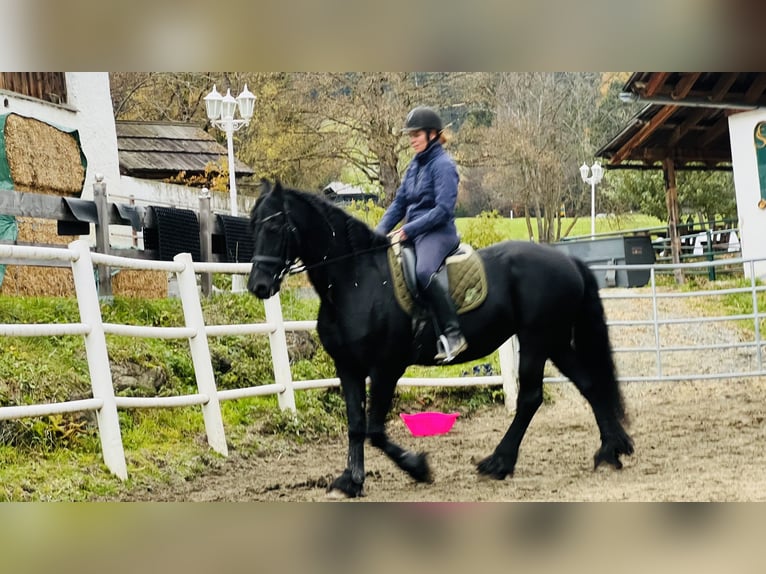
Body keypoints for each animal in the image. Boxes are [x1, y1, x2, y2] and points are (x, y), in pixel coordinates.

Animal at [249, 181, 632, 500]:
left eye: (274, 227)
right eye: (253, 224)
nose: (258, 286)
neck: (356, 280)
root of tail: (567, 259)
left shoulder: (386, 368)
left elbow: (375, 430)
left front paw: (418, 468)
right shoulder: (348, 367)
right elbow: (356, 426)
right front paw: (350, 481)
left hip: (537, 340)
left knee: (530, 398)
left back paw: (499, 463)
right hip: (554, 341)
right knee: (589, 384)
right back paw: (610, 451)